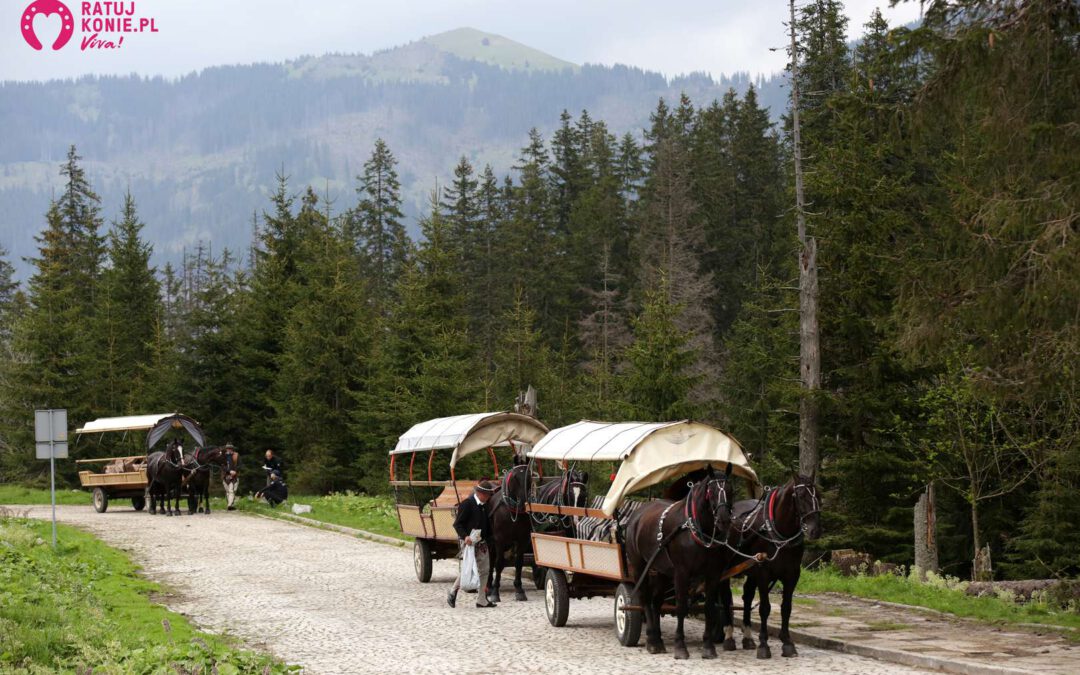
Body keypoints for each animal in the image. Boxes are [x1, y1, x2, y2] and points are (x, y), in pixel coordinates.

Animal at [622, 462, 738, 656]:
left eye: (731, 490)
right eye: (712, 491)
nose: (723, 520)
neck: (696, 529)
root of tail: (637, 514)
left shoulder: (713, 574)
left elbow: (709, 607)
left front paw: (708, 646)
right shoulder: (681, 573)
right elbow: (681, 607)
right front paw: (680, 646)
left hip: (661, 570)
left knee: (656, 602)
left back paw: (658, 639)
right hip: (639, 566)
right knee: (645, 599)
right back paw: (651, 639)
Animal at [725, 473, 825, 656]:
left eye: (819, 496)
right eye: (801, 496)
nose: (816, 530)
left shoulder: (792, 574)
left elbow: (786, 607)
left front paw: (787, 642)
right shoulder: (763, 572)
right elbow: (765, 608)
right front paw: (764, 644)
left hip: (750, 571)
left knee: (747, 596)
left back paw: (748, 637)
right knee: (726, 597)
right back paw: (728, 636)